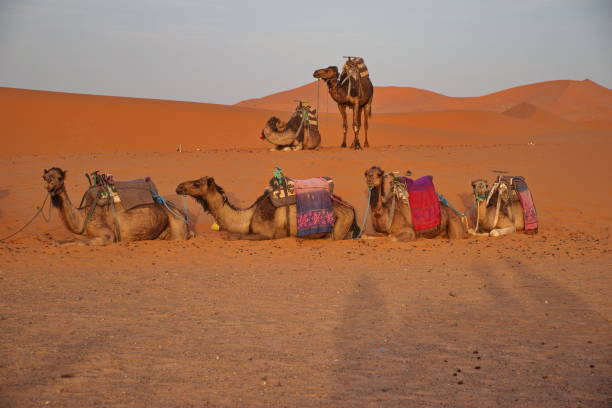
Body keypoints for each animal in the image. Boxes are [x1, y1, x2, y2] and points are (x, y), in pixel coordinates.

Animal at [42, 167, 191, 245]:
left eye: (60, 178)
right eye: (45, 177)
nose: (50, 187)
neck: (83, 216)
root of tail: (183, 214)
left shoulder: (108, 234)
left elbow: (80, 242)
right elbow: (75, 239)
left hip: (177, 225)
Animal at [176, 175, 358, 239]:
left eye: (197, 183)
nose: (179, 187)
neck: (248, 216)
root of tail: (351, 208)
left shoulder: (266, 233)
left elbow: (234, 237)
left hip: (340, 225)